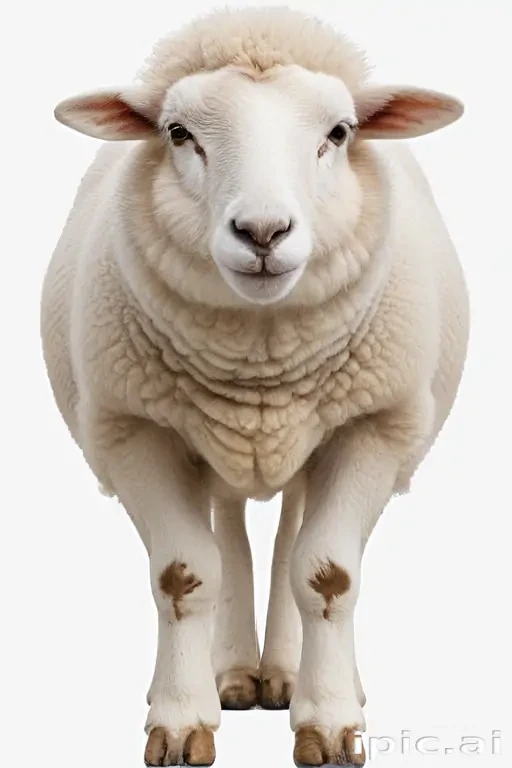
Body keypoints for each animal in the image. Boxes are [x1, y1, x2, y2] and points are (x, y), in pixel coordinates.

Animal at [40, 6, 469, 766]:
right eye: (178, 133)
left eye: (339, 133)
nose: (263, 232)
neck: (261, 362)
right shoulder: (133, 431)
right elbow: (184, 576)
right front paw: (182, 720)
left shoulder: (373, 428)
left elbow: (326, 574)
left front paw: (327, 722)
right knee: (233, 529)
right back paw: (238, 672)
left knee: (289, 529)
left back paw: (290, 674)